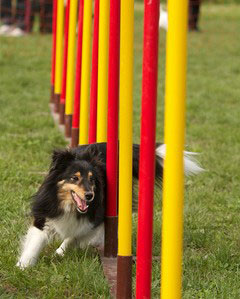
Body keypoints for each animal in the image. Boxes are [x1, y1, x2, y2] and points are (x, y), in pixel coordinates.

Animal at [16, 143, 202, 270]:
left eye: (92, 179)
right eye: (74, 178)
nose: (90, 195)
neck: (70, 207)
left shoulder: (95, 221)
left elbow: (75, 235)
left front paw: (60, 251)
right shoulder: (45, 214)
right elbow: (36, 242)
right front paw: (23, 266)